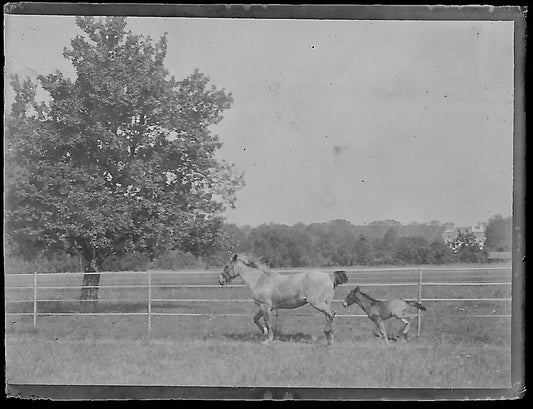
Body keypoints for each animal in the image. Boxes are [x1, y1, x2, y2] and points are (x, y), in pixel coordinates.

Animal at [218, 253, 348, 342]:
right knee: (329, 316)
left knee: (331, 313)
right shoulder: (264, 307)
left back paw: (328, 334)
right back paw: (329, 337)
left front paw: (267, 340)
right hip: (326, 302)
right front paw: (264, 332)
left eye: (227, 266)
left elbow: (268, 322)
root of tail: (329, 275)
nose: (220, 281)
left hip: (317, 303)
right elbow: (255, 319)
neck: (259, 280)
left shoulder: (265, 306)